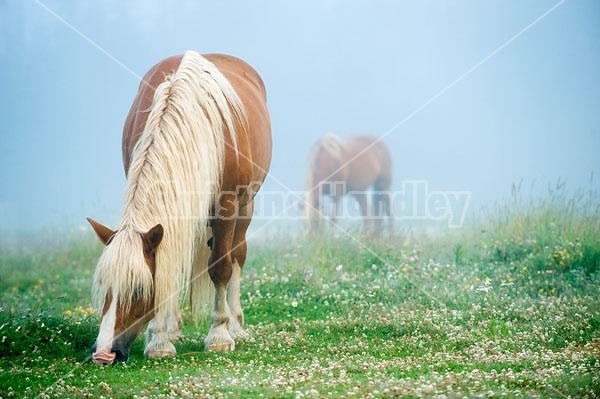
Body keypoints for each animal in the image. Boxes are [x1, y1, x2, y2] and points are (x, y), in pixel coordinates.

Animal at [86, 50, 272, 366]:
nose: (103, 354)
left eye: (138, 289)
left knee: (237, 256)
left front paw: (219, 335)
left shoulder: (227, 207)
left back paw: (235, 324)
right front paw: (160, 339)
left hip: (246, 207)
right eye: (105, 286)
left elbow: (220, 267)